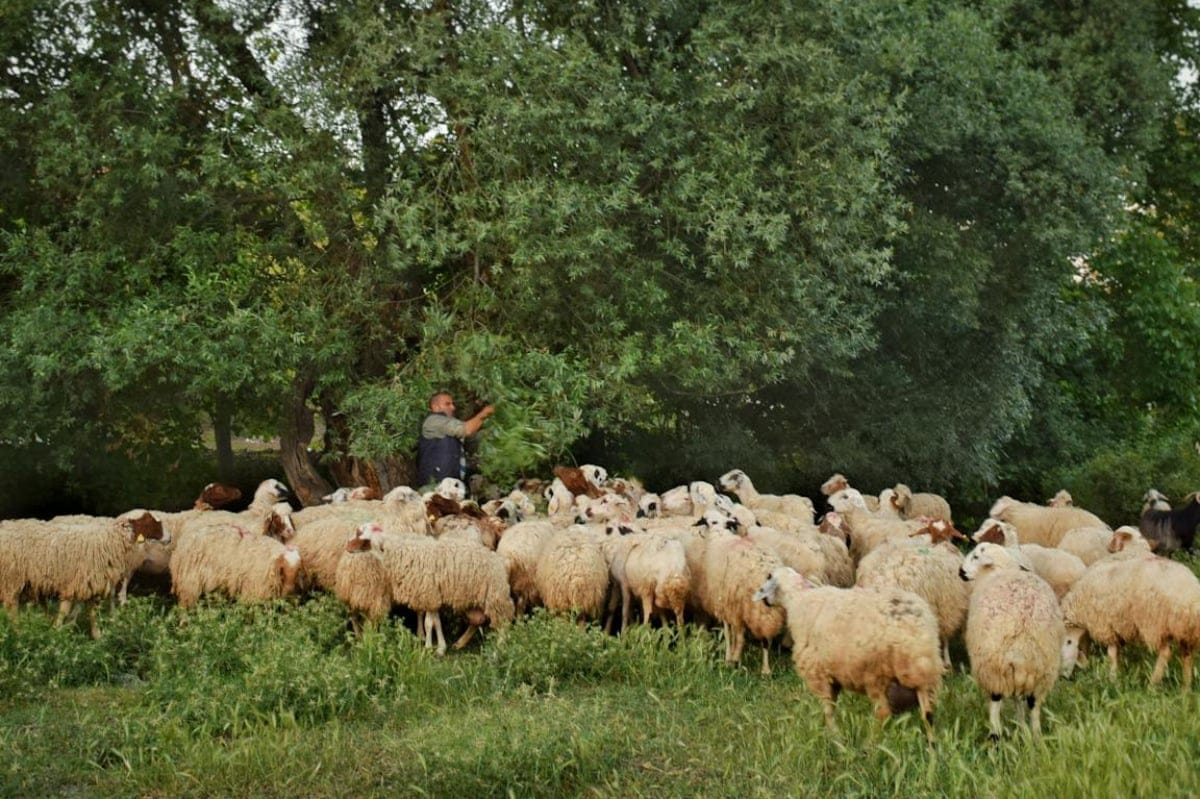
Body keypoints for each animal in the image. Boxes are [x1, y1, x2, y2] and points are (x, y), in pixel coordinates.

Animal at [753, 563, 940, 739]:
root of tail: (912, 627)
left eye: (769, 577)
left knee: (883, 713)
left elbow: (828, 709)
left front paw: (834, 736)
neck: (798, 598)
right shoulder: (833, 675)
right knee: (928, 714)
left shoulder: (818, 672)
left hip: (876, 673)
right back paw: (931, 746)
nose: (764, 601)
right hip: (923, 671)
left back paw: (871, 744)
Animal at [960, 537, 1065, 739]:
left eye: (976, 556)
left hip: (994, 666)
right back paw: (1035, 736)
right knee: (1032, 704)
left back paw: (995, 735)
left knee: (996, 701)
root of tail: (1023, 644)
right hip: (1040, 671)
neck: (1001, 568)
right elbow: (1019, 700)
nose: (960, 572)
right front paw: (1021, 727)